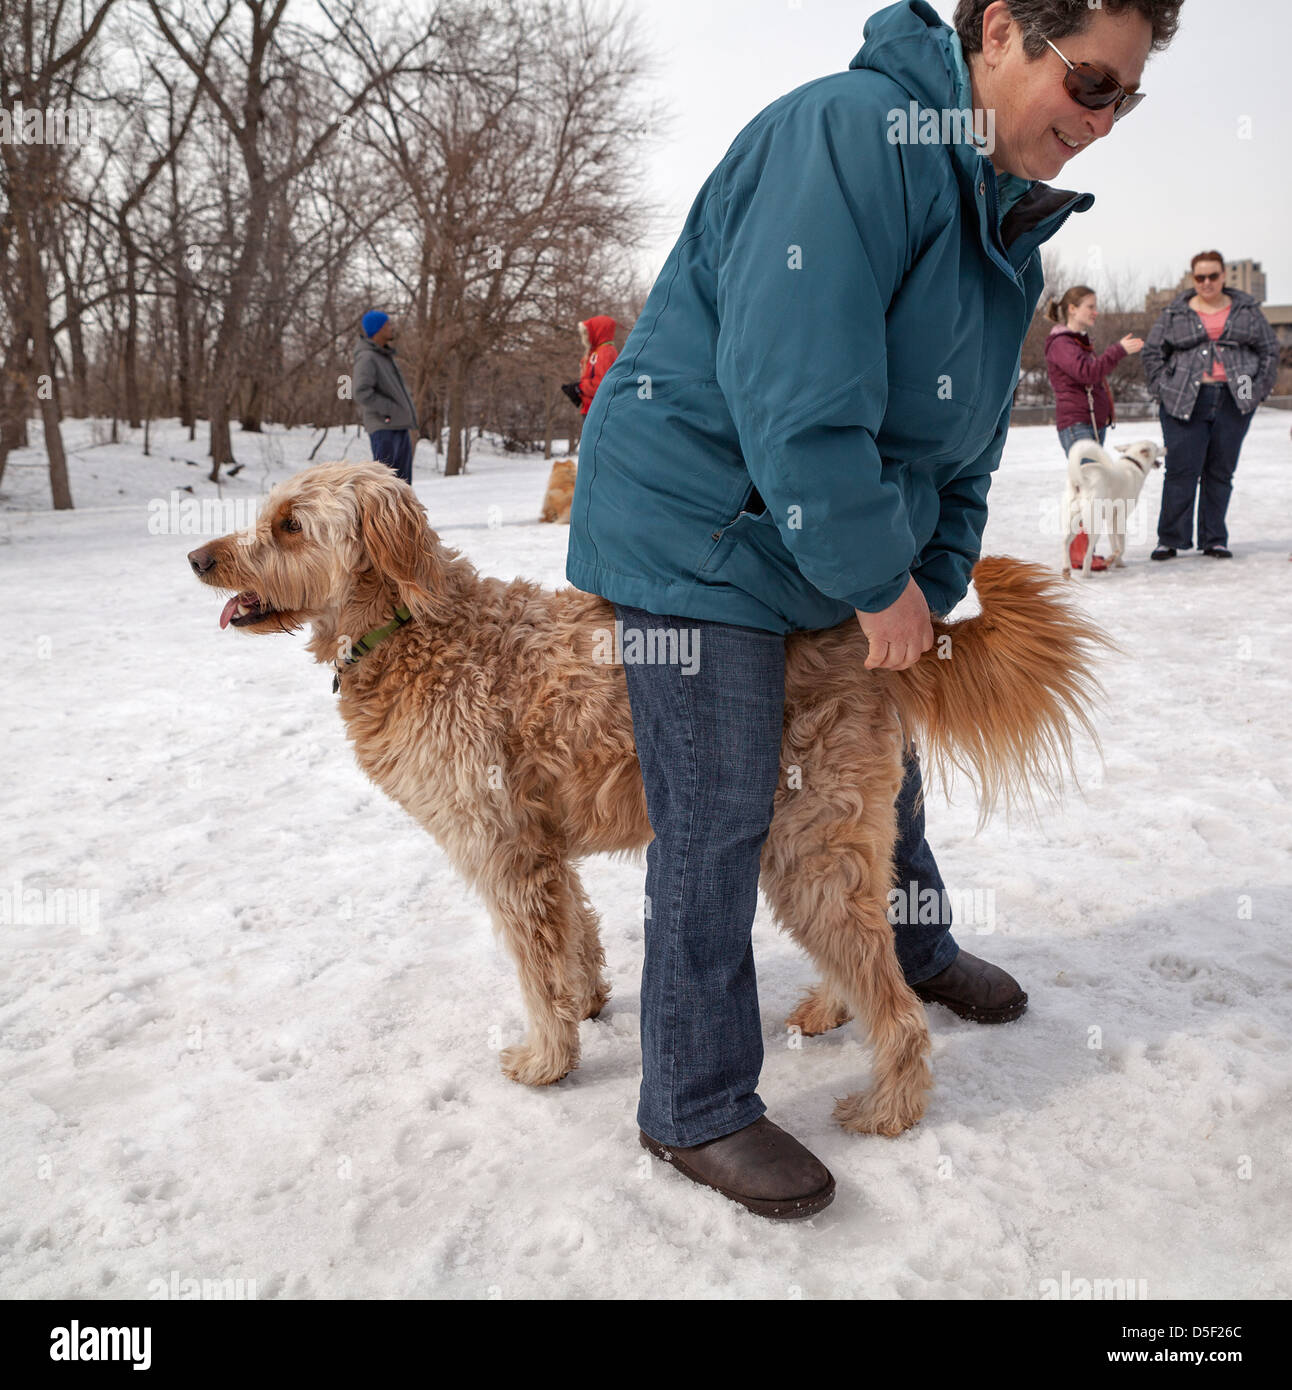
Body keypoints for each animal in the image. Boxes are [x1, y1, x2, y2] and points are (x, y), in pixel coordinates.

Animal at [186, 461, 1101, 1134]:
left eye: (288, 525)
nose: (198, 559)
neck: (412, 629)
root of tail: (857, 638)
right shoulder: (543, 844)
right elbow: (574, 936)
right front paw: (589, 1002)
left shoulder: (500, 849)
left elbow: (534, 970)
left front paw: (545, 1061)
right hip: (839, 836)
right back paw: (828, 1011)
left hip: (803, 843)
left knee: (899, 1007)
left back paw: (889, 1108)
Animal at [1062, 439, 1162, 581]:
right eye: (1157, 448)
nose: (1166, 448)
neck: (1134, 464)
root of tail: (1081, 480)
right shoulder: (1120, 518)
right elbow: (1121, 547)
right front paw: (1112, 559)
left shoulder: (1110, 520)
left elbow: (1115, 544)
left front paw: (1118, 563)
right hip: (1095, 527)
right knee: (1087, 554)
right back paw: (1087, 574)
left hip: (1072, 523)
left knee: (1065, 544)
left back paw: (1066, 569)